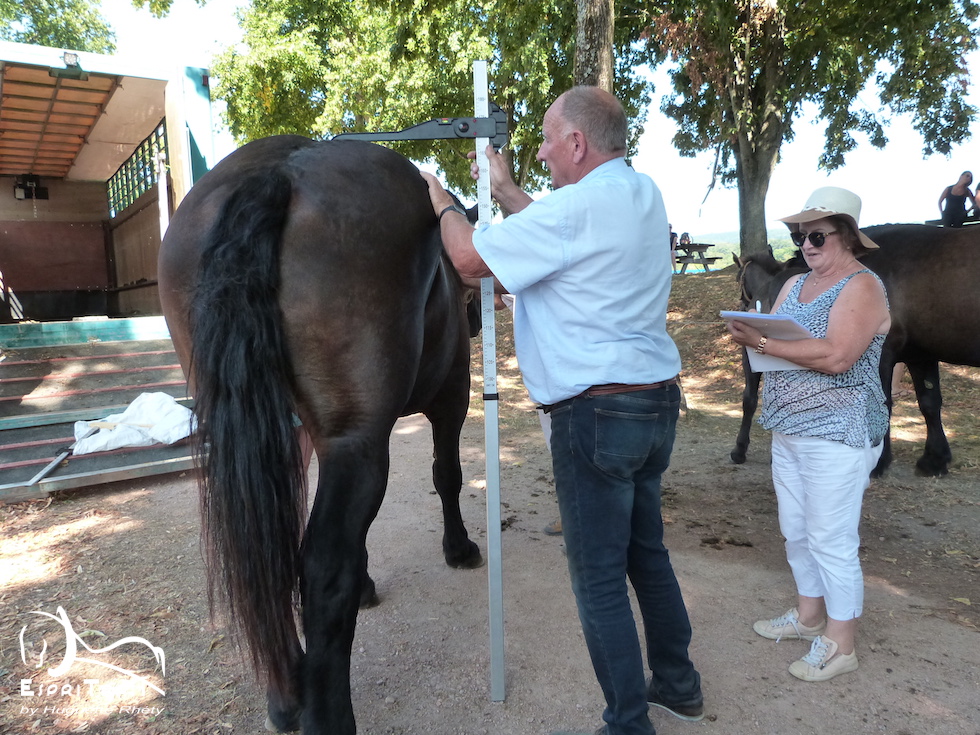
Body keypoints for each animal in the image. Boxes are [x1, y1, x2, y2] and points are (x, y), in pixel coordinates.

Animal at [157, 135, 484, 734]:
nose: (475, 320)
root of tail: (281, 171)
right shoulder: (448, 400)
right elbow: (446, 476)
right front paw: (459, 548)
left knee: (271, 557)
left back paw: (287, 696)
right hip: (357, 443)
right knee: (322, 563)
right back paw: (325, 713)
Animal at [731, 223, 980, 477]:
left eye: (738, 279)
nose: (747, 306)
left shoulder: (881, 356)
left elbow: (882, 403)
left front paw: (879, 462)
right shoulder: (921, 356)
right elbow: (930, 402)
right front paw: (934, 459)